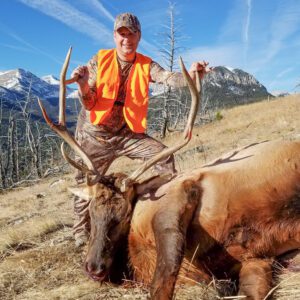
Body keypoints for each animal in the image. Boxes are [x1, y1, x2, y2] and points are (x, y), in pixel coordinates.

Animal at [38, 48, 300, 298]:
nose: (94, 268)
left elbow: (161, 284)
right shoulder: (255, 260)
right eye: (91, 212)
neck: (135, 265)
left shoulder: (174, 199)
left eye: (124, 215)